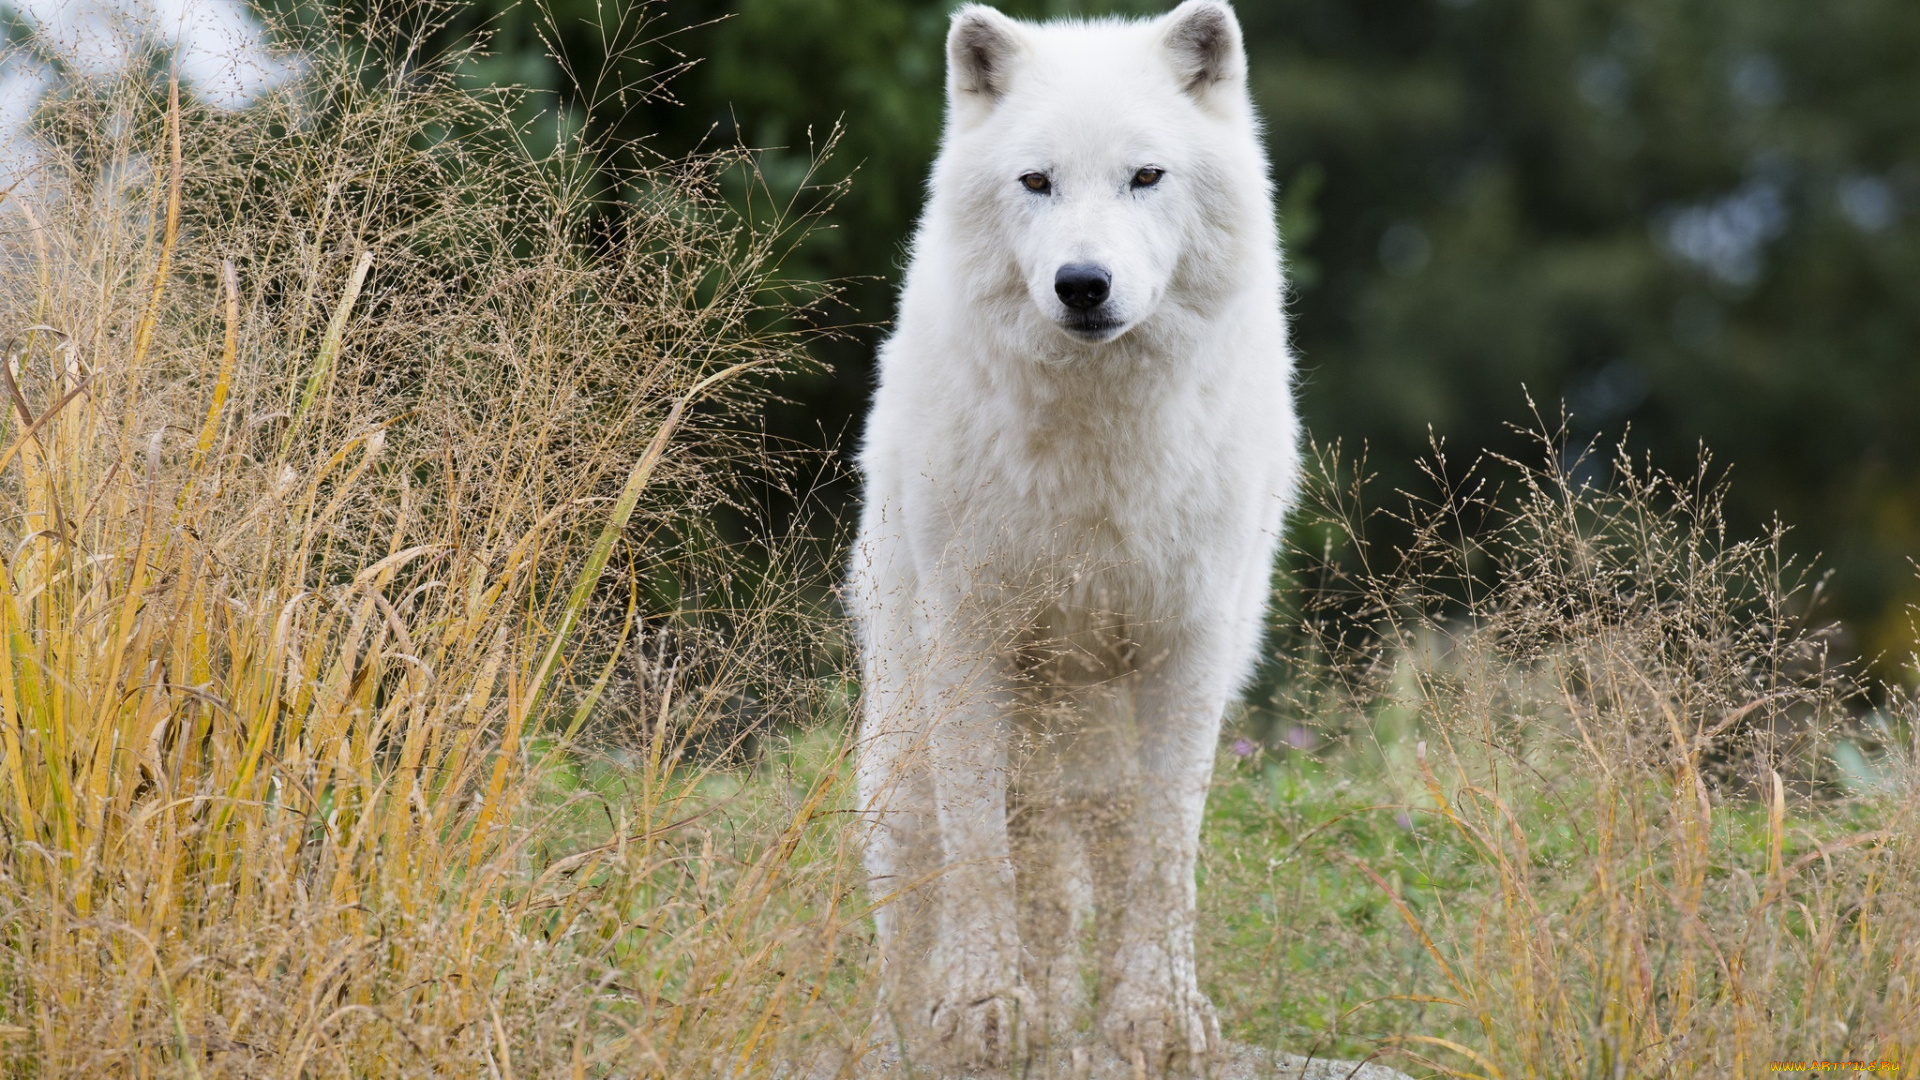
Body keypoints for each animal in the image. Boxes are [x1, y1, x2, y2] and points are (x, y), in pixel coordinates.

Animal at [848, 2, 1297, 1068]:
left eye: (1147, 176)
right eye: (1037, 181)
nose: (1082, 284)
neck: (1100, 449)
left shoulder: (1190, 647)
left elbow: (1170, 848)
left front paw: (1161, 1017)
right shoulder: (966, 635)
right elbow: (979, 844)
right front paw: (979, 1007)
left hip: (1092, 739)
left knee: (1093, 854)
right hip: (906, 756)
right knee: (940, 893)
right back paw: (932, 1025)